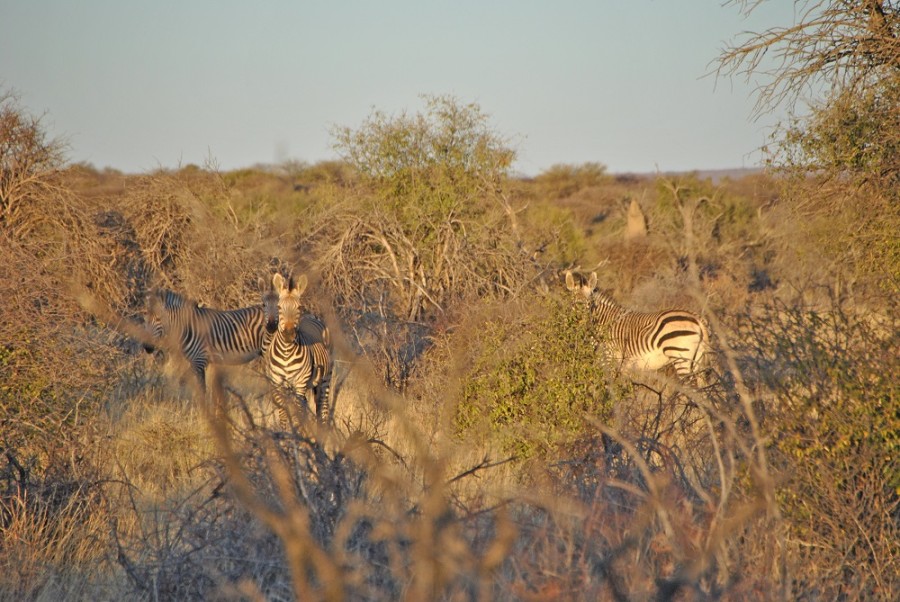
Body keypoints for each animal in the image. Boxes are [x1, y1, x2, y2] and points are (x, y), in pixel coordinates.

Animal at [144, 284, 280, 392]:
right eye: (146, 317)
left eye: (159, 318)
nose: (147, 347)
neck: (187, 327)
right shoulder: (197, 362)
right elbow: (183, 382)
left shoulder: (199, 361)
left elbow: (202, 390)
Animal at [264, 272, 334, 426]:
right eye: (279, 308)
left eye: (299, 308)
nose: (289, 334)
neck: (286, 352)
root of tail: (312, 316)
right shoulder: (277, 383)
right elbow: (283, 412)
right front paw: (285, 431)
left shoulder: (300, 384)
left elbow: (297, 414)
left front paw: (296, 430)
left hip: (325, 378)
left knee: (323, 407)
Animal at [564, 270, 712, 380]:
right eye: (574, 302)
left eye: (589, 303)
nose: (582, 322)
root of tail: (698, 319)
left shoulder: (609, 360)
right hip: (698, 361)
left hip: (681, 357)